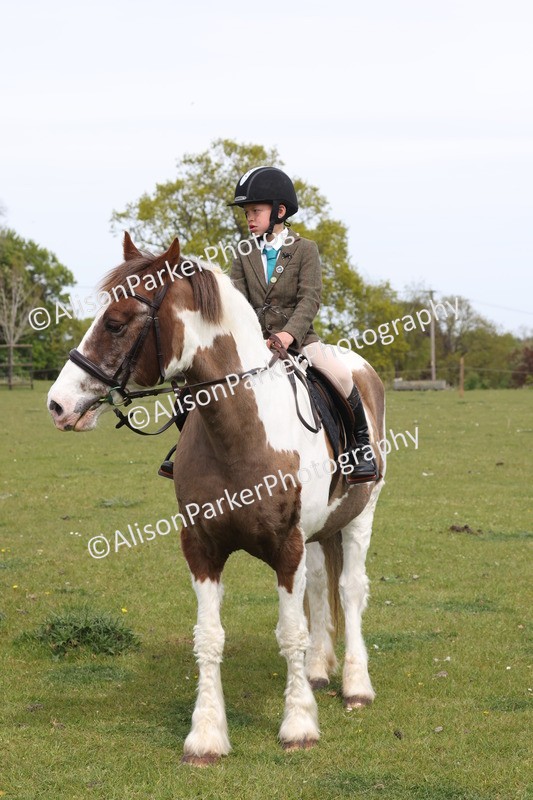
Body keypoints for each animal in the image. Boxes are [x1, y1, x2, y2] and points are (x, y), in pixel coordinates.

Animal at [47, 233, 386, 765]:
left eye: (116, 323)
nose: (58, 405)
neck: (240, 431)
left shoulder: (286, 547)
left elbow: (290, 633)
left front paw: (298, 726)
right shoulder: (202, 548)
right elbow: (209, 636)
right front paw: (206, 735)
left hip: (358, 519)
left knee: (350, 591)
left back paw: (355, 685)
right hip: (317, 534)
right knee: (318, 588)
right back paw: (317, 671)